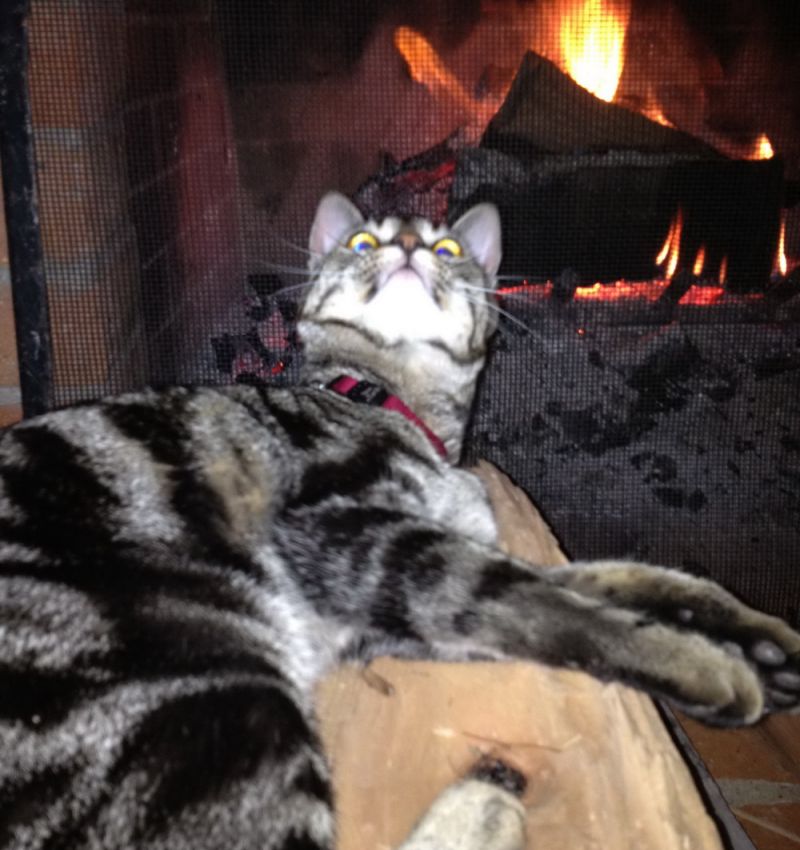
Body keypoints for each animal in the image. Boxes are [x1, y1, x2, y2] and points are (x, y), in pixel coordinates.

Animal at [1, 191, 799, 850]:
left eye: (446, 249)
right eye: (363, 240)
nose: (412, 244)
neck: (392, 401)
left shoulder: (415, 593)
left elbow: (609, 582)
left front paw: (758, 639)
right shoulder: (359, 535)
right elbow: (556, 606)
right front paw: (708, 665)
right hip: (211, 693)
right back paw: (487, 806)